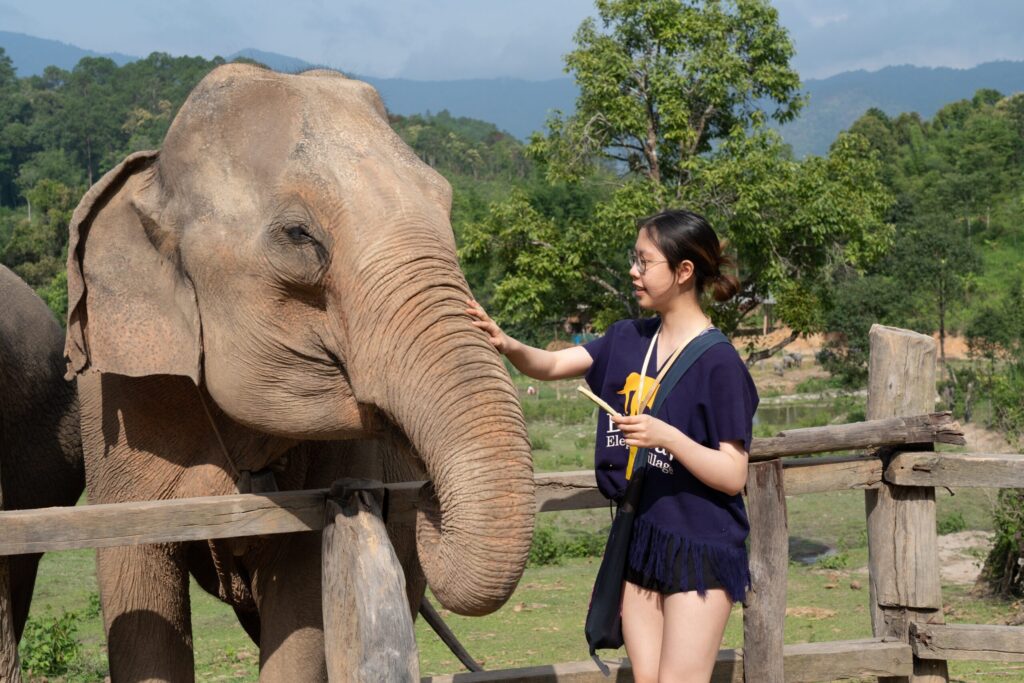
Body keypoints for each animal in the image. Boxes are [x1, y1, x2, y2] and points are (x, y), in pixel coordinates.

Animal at [64, 63, 535, 681]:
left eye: (449, 204)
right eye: (298, 236)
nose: (426, 494)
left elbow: (303, 600)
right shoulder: (115, 410)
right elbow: (138, 590)